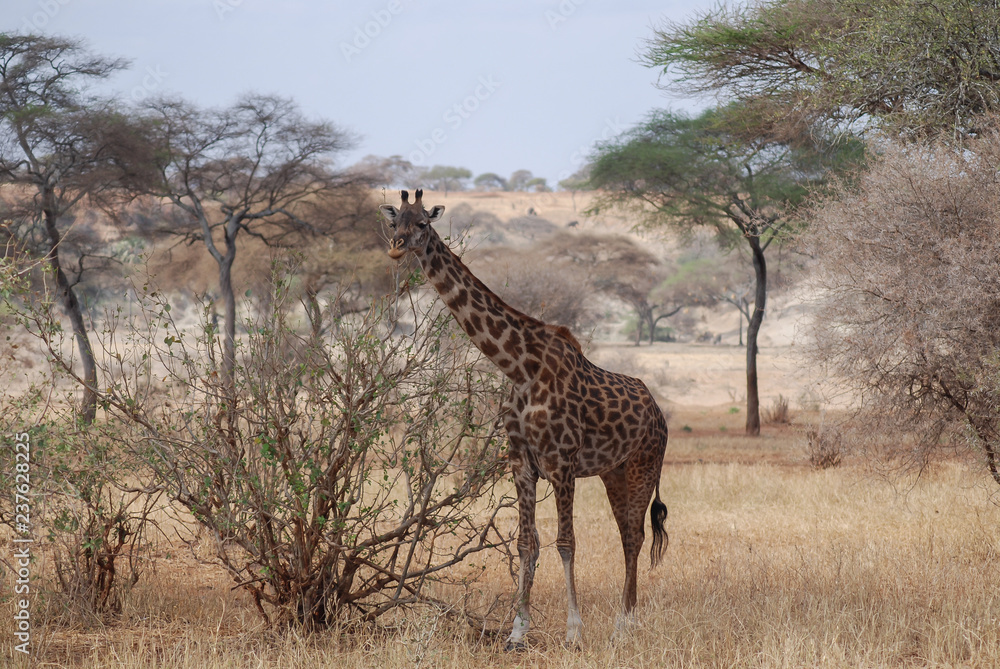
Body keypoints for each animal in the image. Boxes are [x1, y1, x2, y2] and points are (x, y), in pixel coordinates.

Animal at [380, 189, 669, 649]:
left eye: (423, 223)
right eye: (395, 222)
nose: (396, 246)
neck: (520, 366)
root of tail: (659, 411)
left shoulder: (562, 461)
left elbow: (566, 542)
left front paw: (573, 631)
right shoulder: (522, 462)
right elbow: (525, 544)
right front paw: (517, 631)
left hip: (645, 464)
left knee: (636, 535)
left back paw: (625, 624)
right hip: (614, 471)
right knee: (627, 533)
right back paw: (624, 621)